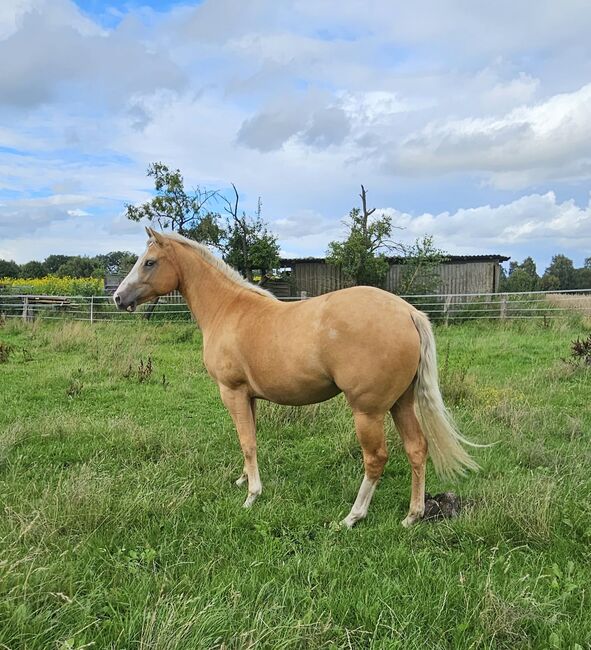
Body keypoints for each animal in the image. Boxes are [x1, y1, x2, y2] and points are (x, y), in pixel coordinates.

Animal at [115, 228, 480, 528]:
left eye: (149, 262)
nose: (119, 298)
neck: (228, 309)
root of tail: (408, 312)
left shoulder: (231, 392)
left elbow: (247, 442)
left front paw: (252, 495)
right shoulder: (248, 397)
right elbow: (250, 439)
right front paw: (243, 480)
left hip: (368, 412)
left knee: (376, 459)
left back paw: (352, 517)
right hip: (400, 404)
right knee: (417, 449)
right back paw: (412, 516)